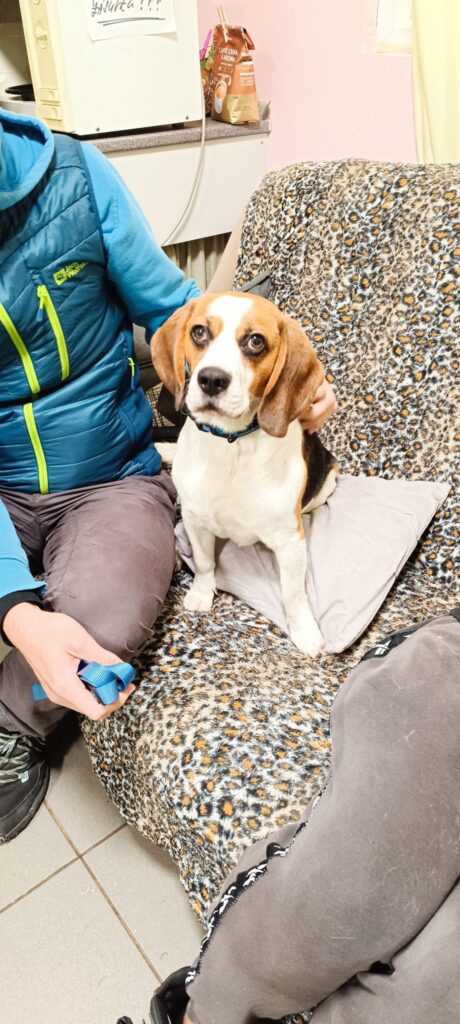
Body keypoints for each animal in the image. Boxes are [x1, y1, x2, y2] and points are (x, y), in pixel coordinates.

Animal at [152, 290, 336, 655]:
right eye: (199, 332)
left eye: (255, 341)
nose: (211, 379)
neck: (230, 444)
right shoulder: (195, 519)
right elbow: (205, 563)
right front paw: (201, 593)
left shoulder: (291, 542)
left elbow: (293, 594)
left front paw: (304, 630)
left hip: (328, 479)